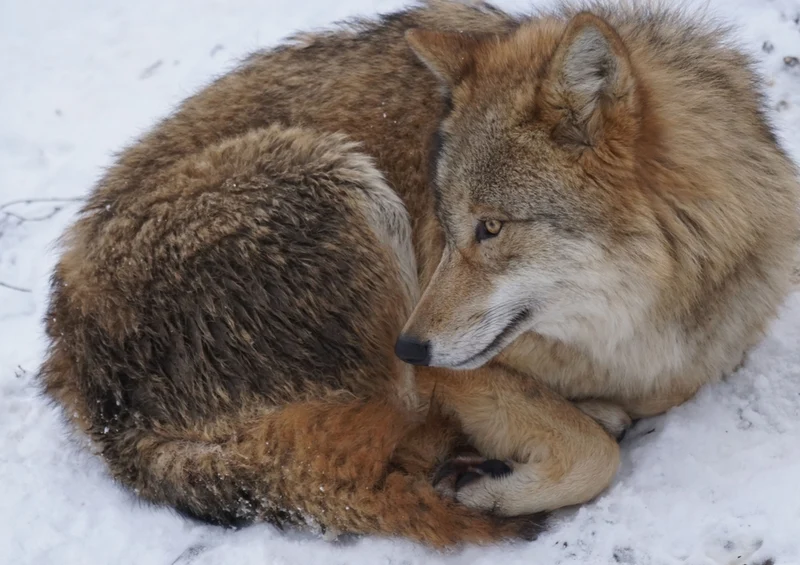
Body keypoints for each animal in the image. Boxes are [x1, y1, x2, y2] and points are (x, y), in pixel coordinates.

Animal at [38, 0, 798, 548]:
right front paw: (498, 486)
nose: (409, 344)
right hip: (338, 174)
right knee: (379, 439)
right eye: (447, 221)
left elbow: (646, 402)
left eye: (490, 227)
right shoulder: (453, 374)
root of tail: (81, 377)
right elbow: (593, 456)